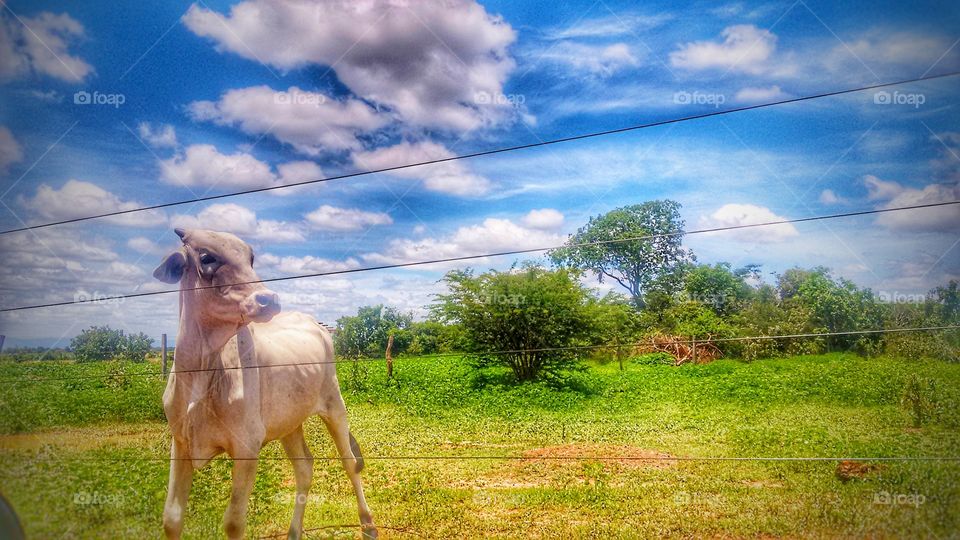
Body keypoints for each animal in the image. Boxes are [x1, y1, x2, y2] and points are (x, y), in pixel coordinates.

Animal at [152, 228, 376, 540]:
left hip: (334, 404)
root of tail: (317, 325)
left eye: (251, 259)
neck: (202, 372)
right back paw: (294, 532)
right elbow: (172, 518)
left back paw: (368, 524)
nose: (268, 299)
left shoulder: (247, 447)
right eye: (207, 257)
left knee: (350, 463)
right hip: (290, 422)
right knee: (305, 469)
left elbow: (234, 522)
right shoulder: (181, 443)